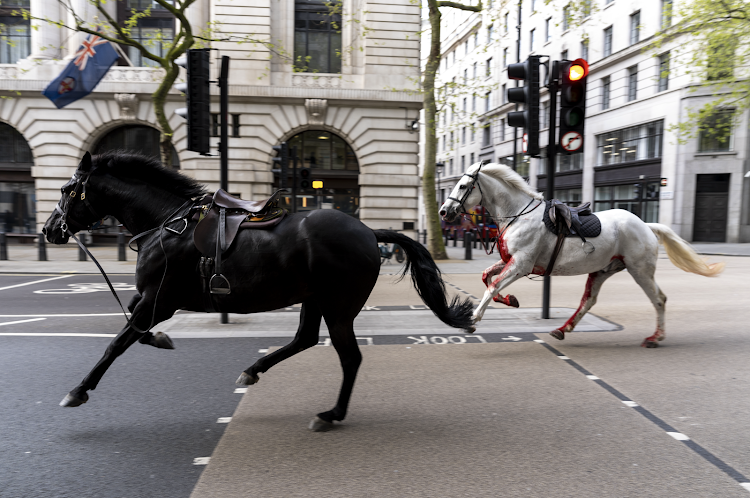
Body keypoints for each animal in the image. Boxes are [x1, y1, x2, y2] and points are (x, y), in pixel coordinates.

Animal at [42, 150, 470, 430]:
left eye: (66, 189)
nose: (47, 230)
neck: (167, 224)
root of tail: (368, 231)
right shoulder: (152, 299)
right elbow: (135, 327)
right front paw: (162, 339)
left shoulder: (160, 300)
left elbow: (118, 342)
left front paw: (78, 390)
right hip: (314, 299)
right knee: (304, 339)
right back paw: (253, 371)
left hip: (338, 306)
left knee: (349, 357)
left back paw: (330, 414)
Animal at [438, 162, 724, 346]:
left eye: (463, 186)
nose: (443, 211)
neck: (518, 215)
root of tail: (646, 225)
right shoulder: (511, 261)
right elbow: (487, 277)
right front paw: (511, 300)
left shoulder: (521, 264)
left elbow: (493, 285)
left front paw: (472, 319)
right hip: (603, 270)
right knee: (589, 301)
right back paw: (563, 329)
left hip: (640, 270)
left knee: (659, 299)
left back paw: (656, 337)